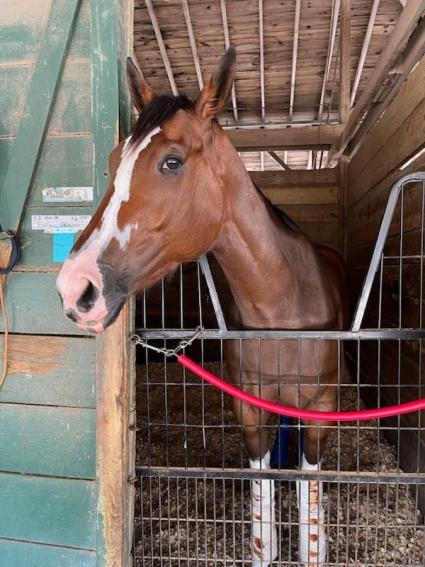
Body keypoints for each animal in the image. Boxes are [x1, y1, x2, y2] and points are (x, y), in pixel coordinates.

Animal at [57, 50, 348, 567]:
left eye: (171, 162)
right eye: (113, 162)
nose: (76, 288)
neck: (282, 307)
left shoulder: (321, 408)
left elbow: (309, 486)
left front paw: (314, 544)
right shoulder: (248, 406)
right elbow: (263, 493)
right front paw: (269, 545)